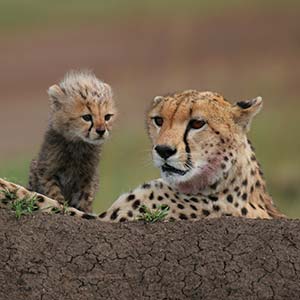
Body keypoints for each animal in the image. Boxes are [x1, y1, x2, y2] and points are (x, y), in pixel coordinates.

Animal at [0, 89, 284, 220]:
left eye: (197, 123)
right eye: (158, 120)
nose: (164, 150)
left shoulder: (109, 221)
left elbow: (42, 203)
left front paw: (4, 186)